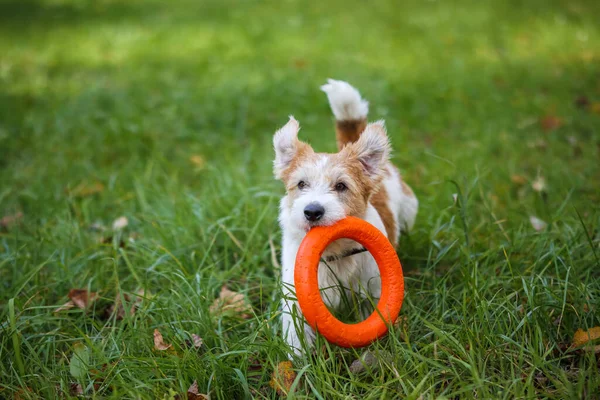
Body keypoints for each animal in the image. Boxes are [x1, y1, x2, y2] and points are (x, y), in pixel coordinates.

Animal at [272, 79, 418, 356]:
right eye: (301, 184)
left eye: (341, 186)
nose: (312, 211)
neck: (335, 253)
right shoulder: (295, 297)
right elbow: (296, 333)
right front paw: (299, 362)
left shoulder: (372, 290)